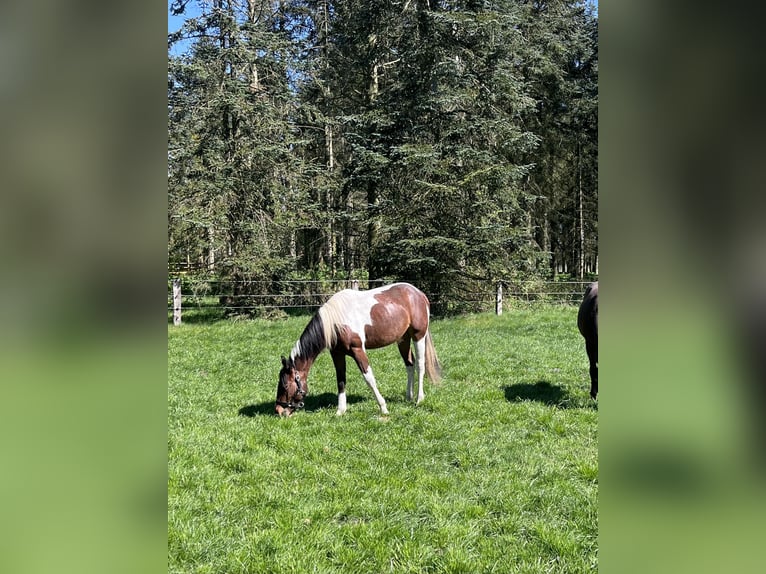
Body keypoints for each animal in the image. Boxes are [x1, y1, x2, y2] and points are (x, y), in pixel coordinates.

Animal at [275, 282, 442, 417]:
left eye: (285, 385)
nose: (279, 410)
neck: (336, 321)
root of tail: (418, 294)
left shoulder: (358, 351)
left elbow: (369, 378)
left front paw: (383, 408)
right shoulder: (337, 353)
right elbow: (341, 380)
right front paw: (340, 411)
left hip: (418, 336)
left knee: (420, 365)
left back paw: (419, 399)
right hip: (403, 339)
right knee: (409, 365)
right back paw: (409, 396)